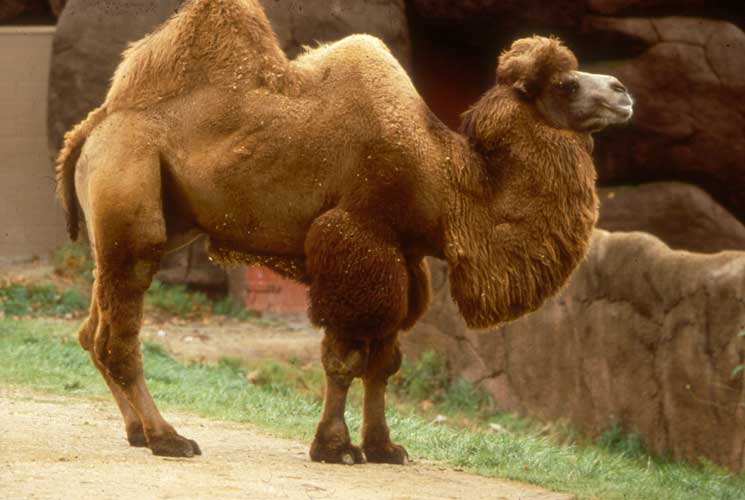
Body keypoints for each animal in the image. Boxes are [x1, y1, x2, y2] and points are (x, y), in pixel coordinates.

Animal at [55, 0, 633, 464]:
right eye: (567, 84)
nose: (623, 91)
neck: (445, 176)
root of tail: (89, 128)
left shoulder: (403, 259)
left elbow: (384, 363)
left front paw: (385, 447)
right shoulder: (356, 241)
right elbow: (346, 359)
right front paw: (335, 447)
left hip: (153, 221)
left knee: (93, 329)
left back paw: (136, 431)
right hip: (131, 192)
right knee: (119, 334)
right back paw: (168, 438)